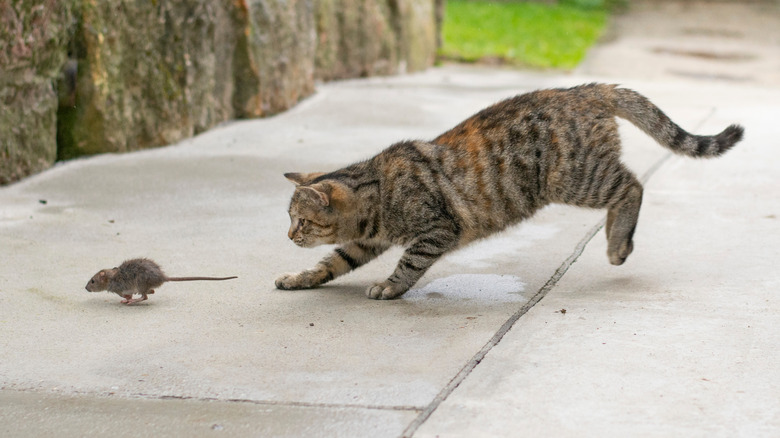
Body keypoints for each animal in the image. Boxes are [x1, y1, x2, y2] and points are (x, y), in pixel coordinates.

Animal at [274, 84, 744, 300]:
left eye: (301, 221)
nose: (288, 235)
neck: (375, 190)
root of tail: (584, 89)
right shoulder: (363, 243)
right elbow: (331, 263)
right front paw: (299, 277)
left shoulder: (436, 230)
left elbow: (408, 264)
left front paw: (390, 287)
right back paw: (617, 239)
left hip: (576, 177)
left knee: (633, 185)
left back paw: (617, 245)